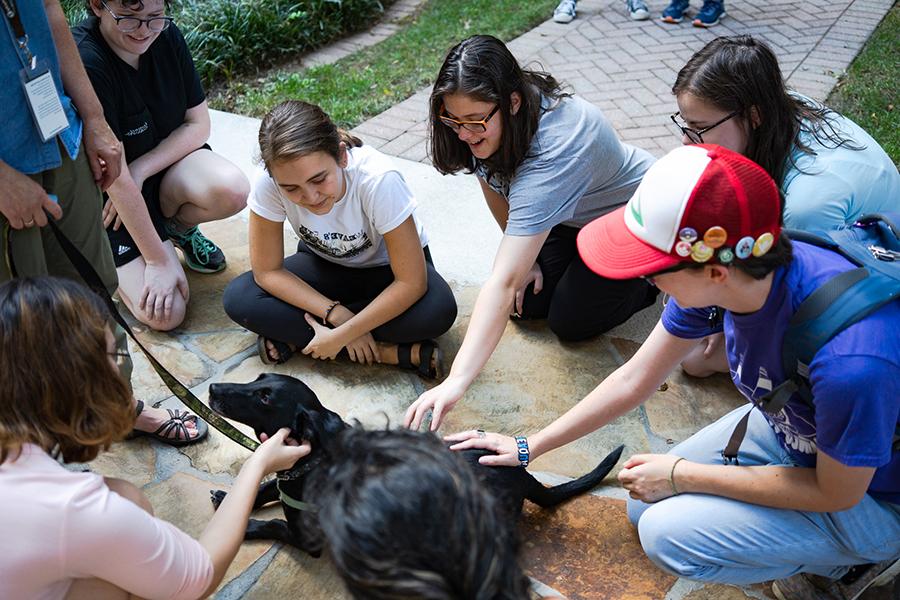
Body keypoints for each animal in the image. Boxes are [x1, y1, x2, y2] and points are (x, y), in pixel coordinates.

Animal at [207, 372, 624, 556]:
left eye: (264, 397)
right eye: (257, 377)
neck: (313, 461)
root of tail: (519, 470)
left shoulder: (307, 539)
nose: (211, 388)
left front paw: (247, 527)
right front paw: (227, 498)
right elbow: (263, 487)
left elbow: (273, 524)